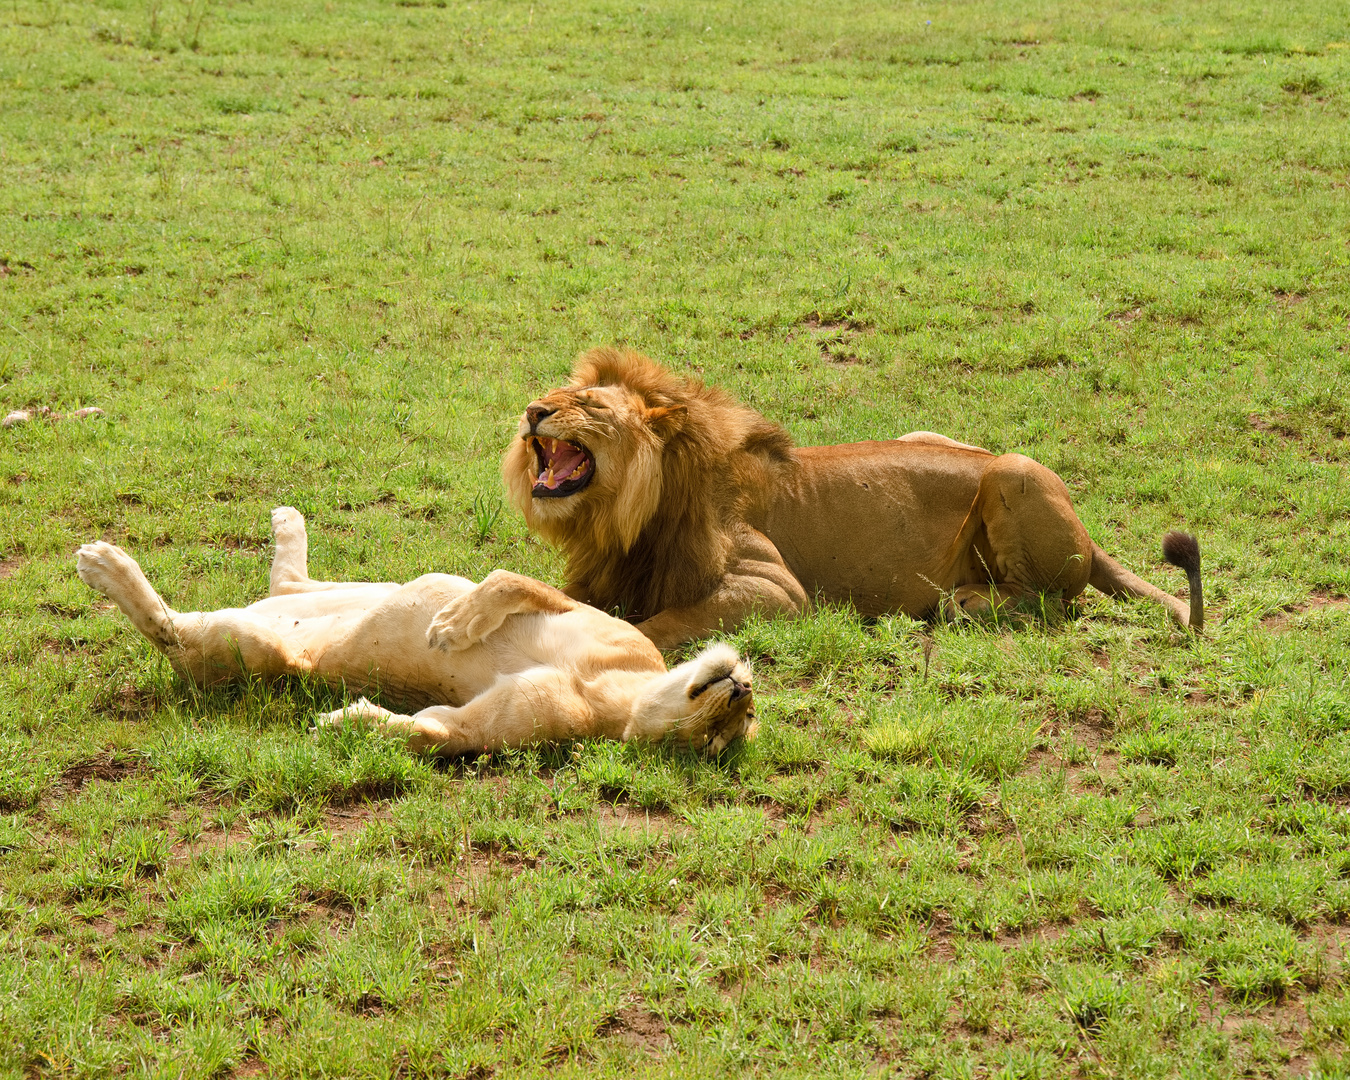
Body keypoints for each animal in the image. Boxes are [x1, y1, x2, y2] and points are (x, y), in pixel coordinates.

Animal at [76, 504, 761, 750]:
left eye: (718, 742)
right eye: (742, 722)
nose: (743, 691)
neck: (611, 694)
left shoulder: (488, 728)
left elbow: (429, 733)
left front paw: (348, 720)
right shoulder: (593, 614)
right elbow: (508, 579)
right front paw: (457, 627)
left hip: (264, 649)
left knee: (177, 638)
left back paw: (105, 565)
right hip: (363, 592)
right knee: (287, 586)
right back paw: (286, 520)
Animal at [504, 351, 1204, 645]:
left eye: (588, 404)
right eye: (554, 394)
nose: (534, 411)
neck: (627, 513)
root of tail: (1090, 534)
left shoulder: (779, 594)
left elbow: (661, 621)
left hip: (1012, 469)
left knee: (1056, 601)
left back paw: (969, 602)